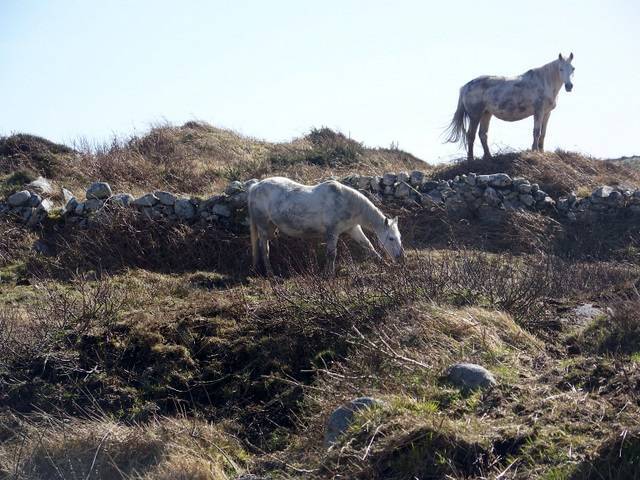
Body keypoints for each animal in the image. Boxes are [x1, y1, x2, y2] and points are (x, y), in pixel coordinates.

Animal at [248, 176, 403, 275]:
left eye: (399, 237)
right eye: (391, 238)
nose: (400, 258)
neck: (346, 202)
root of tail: (255, 187)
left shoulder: (352, 228)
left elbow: (368, 245)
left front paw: (384, 264)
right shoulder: (332, 232)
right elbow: (331, 254)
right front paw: (329, 274)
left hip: (270, 226)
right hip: (263, 225)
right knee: (264, 248)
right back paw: (270, 273)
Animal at [445, 53, 575, 160]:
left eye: (573, 68)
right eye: (561, 68)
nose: (569, 86)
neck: (544, 82)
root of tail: (466, 86)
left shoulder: (547, 113)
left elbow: (543, 133)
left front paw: (541, 151)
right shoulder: (538, 111)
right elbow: (536, 132)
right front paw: (535, 151)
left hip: (486, 114)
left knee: (483, 134)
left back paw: (488, 156)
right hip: (475, 115)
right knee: (470, 135)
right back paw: (471, 159)